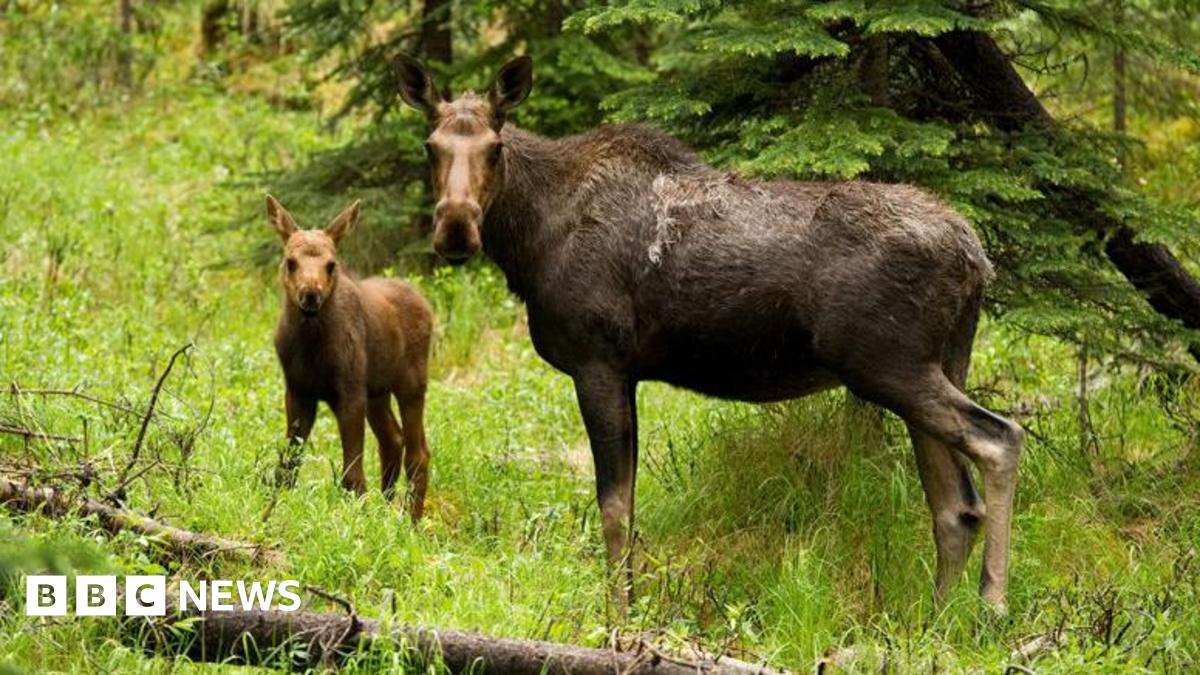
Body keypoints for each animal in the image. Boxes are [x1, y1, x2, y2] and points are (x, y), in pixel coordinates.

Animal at [267, 195, 434, 521]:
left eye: (331, 265)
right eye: (290, 262)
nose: (310, 294)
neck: (311, 348)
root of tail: (426, 304)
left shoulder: (350, 390)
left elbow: (351, 475)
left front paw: (356, 518)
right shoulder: (297, 390)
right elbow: (287, 467)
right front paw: (273, 511)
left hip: (411, 383)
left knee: (418, 453)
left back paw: (410, 521)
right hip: (378, 392)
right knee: (393, 440)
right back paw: (386, 510)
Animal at [394, 55, 1024, 608]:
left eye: (495, 148)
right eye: (429, 146)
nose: (455, 228)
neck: (531, 242)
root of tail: (977, 257)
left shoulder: (598, 361)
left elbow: (613, 508)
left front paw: (618, 618)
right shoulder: (628, 374)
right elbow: (628, 506)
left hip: (890, 364)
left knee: (1000, 439)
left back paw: (991, 604)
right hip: (936, 363)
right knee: (954, 506)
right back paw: (933, 623)